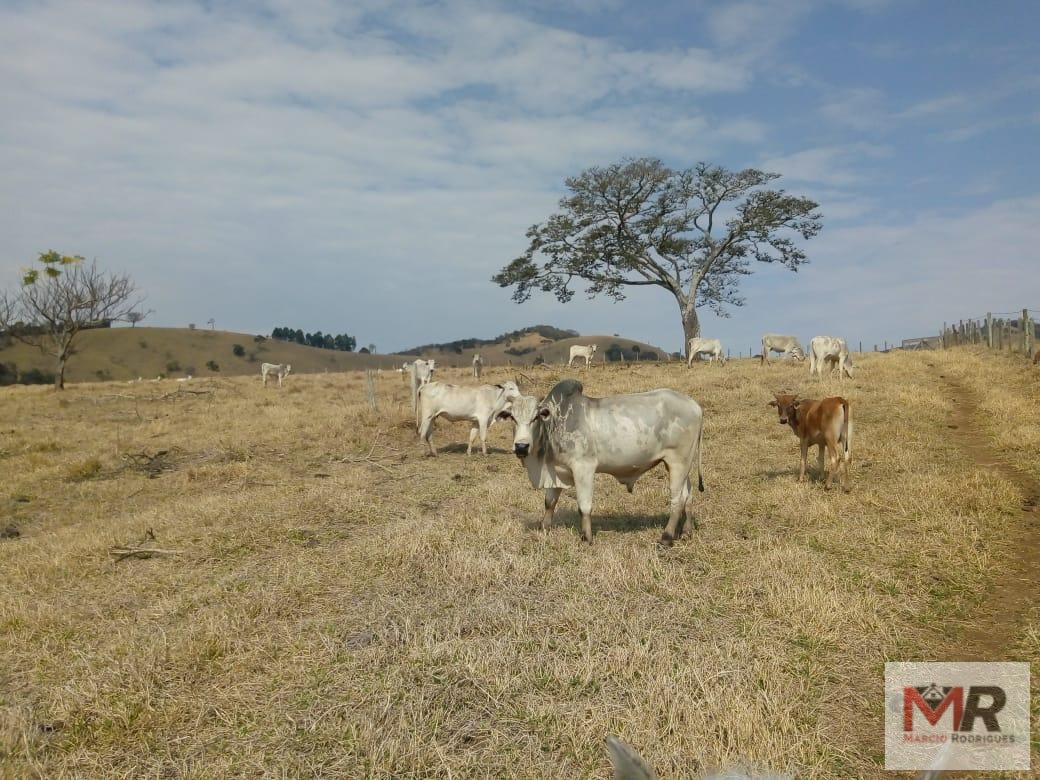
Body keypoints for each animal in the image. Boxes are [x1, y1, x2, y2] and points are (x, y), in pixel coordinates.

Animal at [497, 382, 707, 544]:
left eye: (536, 417)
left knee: (677, 500)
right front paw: (544, 529)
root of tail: (695, 406)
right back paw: (686, 532)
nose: (521, 446)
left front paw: (586, 538)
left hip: (678, 462)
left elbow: (584, 506)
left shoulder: (583, 468)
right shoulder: (556, 471)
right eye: (512, 418)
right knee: (688, 495)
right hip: (680, 465)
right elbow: (549, 502)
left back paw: (666, 537)